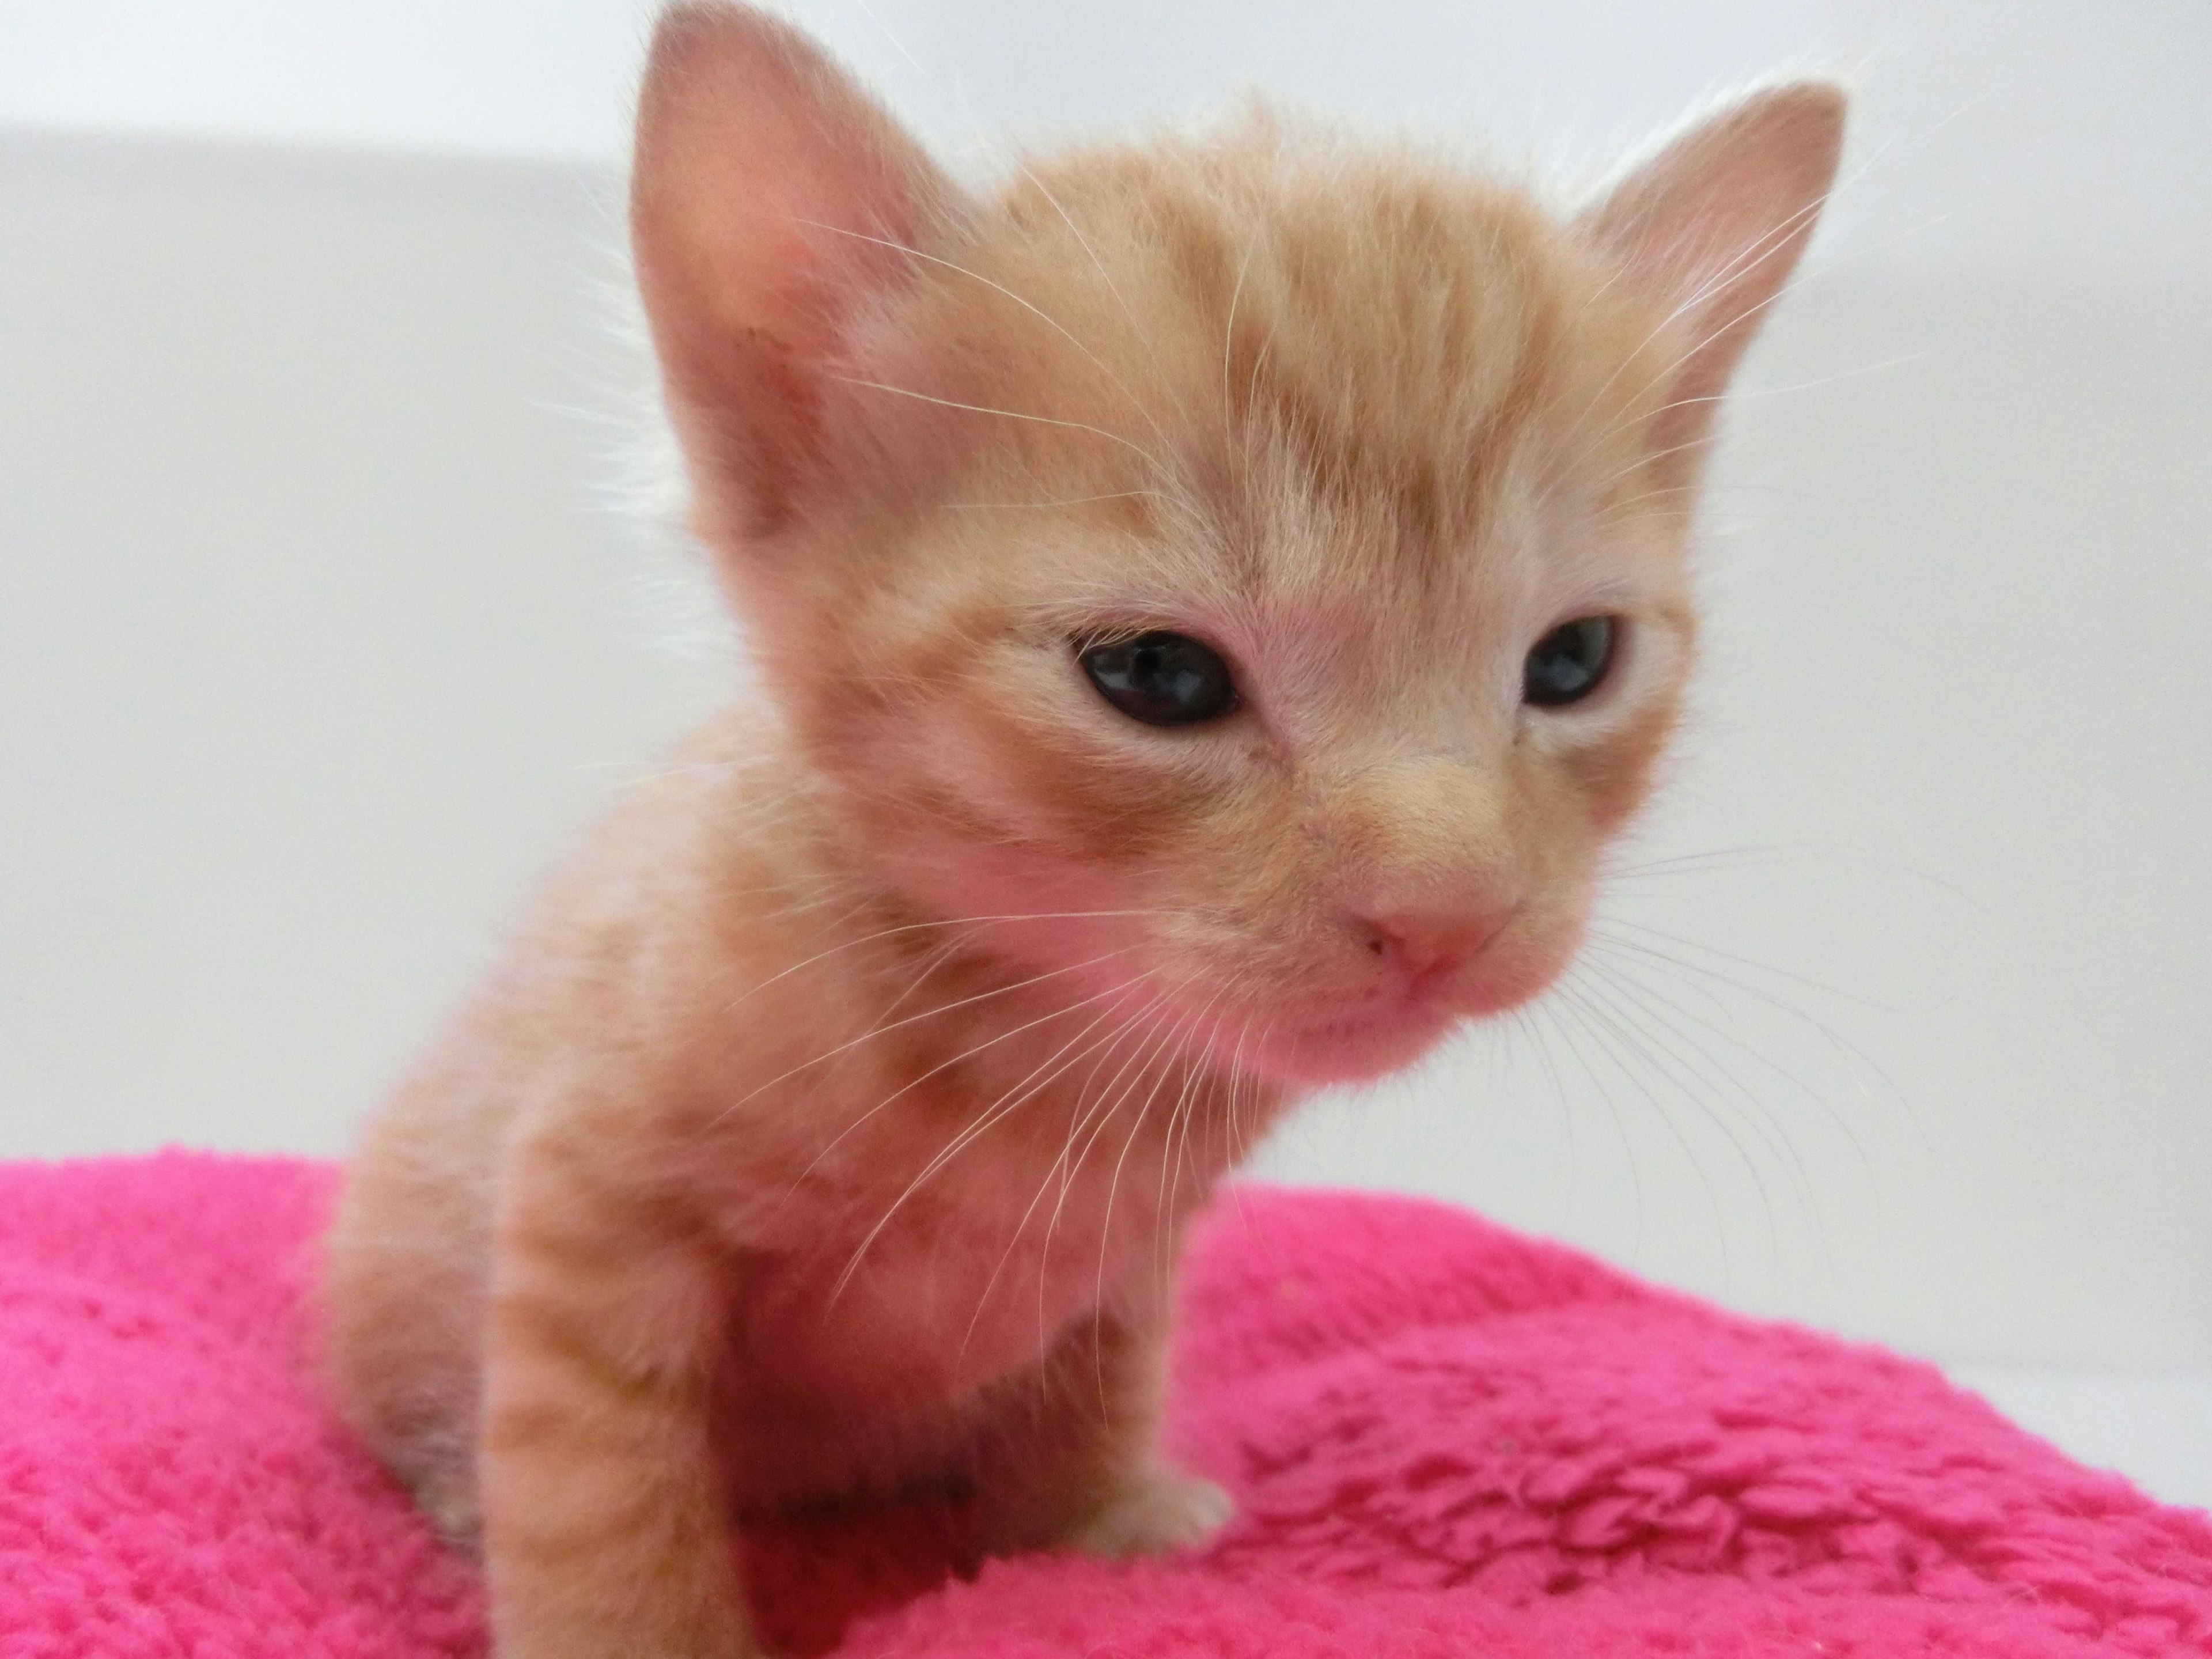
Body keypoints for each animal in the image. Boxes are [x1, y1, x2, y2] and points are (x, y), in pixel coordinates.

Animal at [320, 6, 1840, 1654]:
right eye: (1158, 676)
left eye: (1572, 663)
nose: (1445, 913)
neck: (1032, 1054)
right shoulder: (590, 1199)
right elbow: (595, 1468)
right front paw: (632, 1628)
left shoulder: (1131, 1254)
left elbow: (1095, 1378)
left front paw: (1092, 1535)